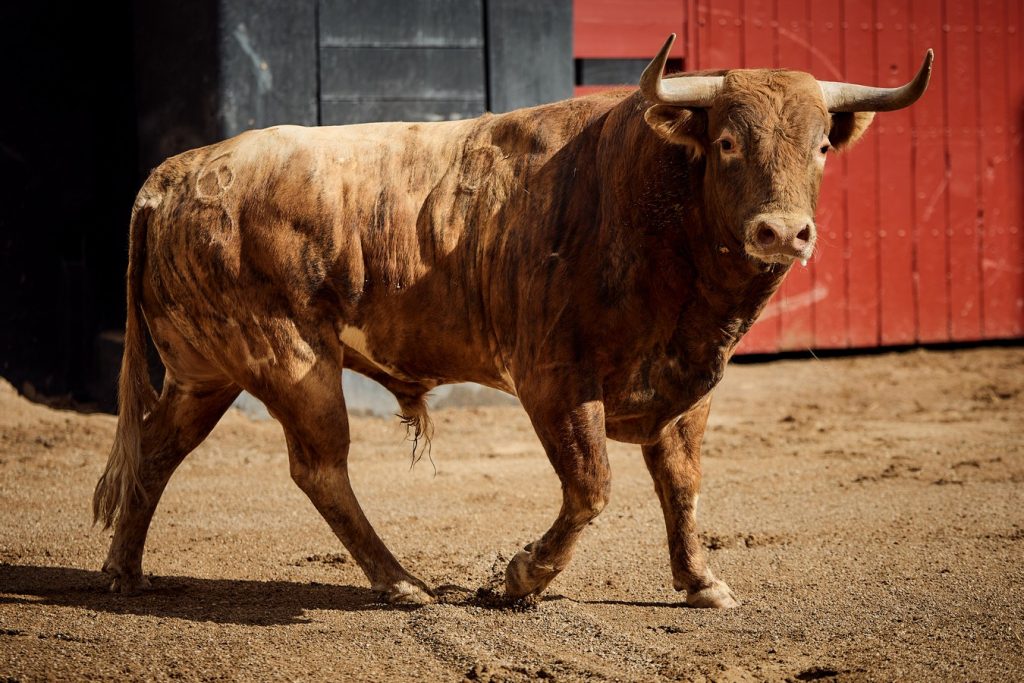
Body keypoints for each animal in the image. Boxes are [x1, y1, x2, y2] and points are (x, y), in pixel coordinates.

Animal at [94, 35, 932, 607]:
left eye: (821, 144)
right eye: (726, 141)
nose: (783, 232)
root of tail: (173, 176)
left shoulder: (686, 384)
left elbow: (683, 483)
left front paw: (702, 582)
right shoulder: (555, 378)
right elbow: (592, 485)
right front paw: (519, 576)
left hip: (206, 371)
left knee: (157, 451)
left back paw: (125, 571)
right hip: (293, 360)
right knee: (319, 467)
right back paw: (400, 581)